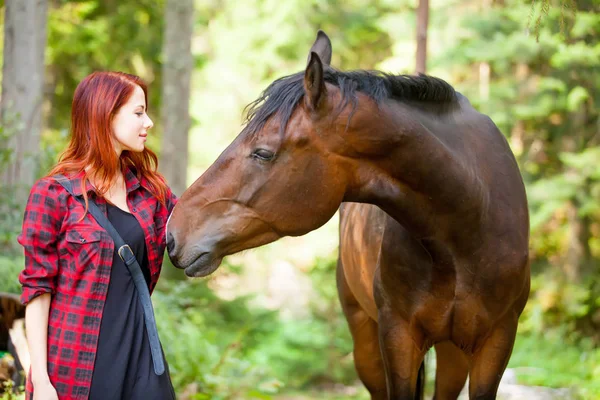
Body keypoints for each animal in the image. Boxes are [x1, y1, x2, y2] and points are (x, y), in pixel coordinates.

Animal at [165, 29, 528, 398]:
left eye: (263, 153)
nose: (172, 233)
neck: (469, 221)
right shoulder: (397, 337)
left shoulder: (497, 341)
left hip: (452, 351)